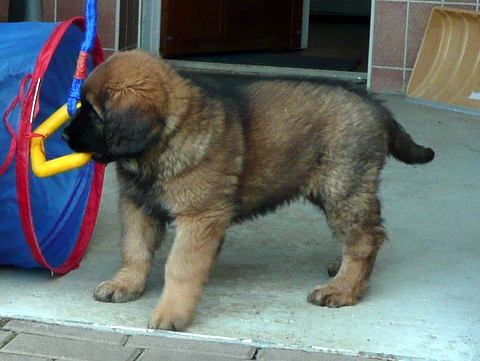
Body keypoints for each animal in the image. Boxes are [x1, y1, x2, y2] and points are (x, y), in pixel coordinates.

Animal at [62, 49, 434, 330]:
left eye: (93, 114)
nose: (64, 135)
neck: (163, 142)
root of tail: (375, 106)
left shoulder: (199, 217)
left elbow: (179, 268)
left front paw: (171, 313)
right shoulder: (137, 205)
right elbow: (134, 249)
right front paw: (125, 284)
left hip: (342, 187)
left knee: (366, 238)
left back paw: (342, 288)